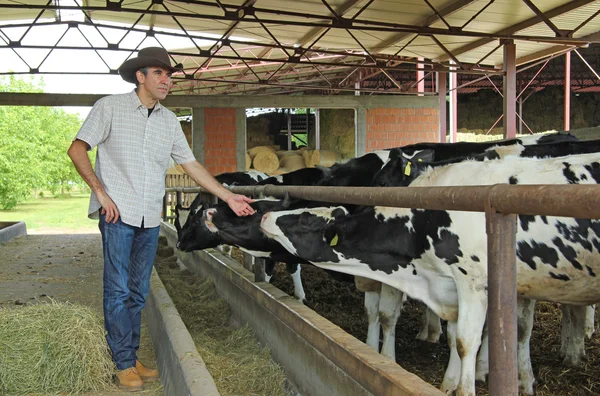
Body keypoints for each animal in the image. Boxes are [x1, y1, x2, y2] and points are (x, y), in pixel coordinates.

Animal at [262, 152, 600, 396]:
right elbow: (458, 335)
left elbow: (466, 340)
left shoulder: (473, 283)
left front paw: (465, 388)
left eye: (305, 220)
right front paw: (451, 381)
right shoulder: (451, 287)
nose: (265, 216)